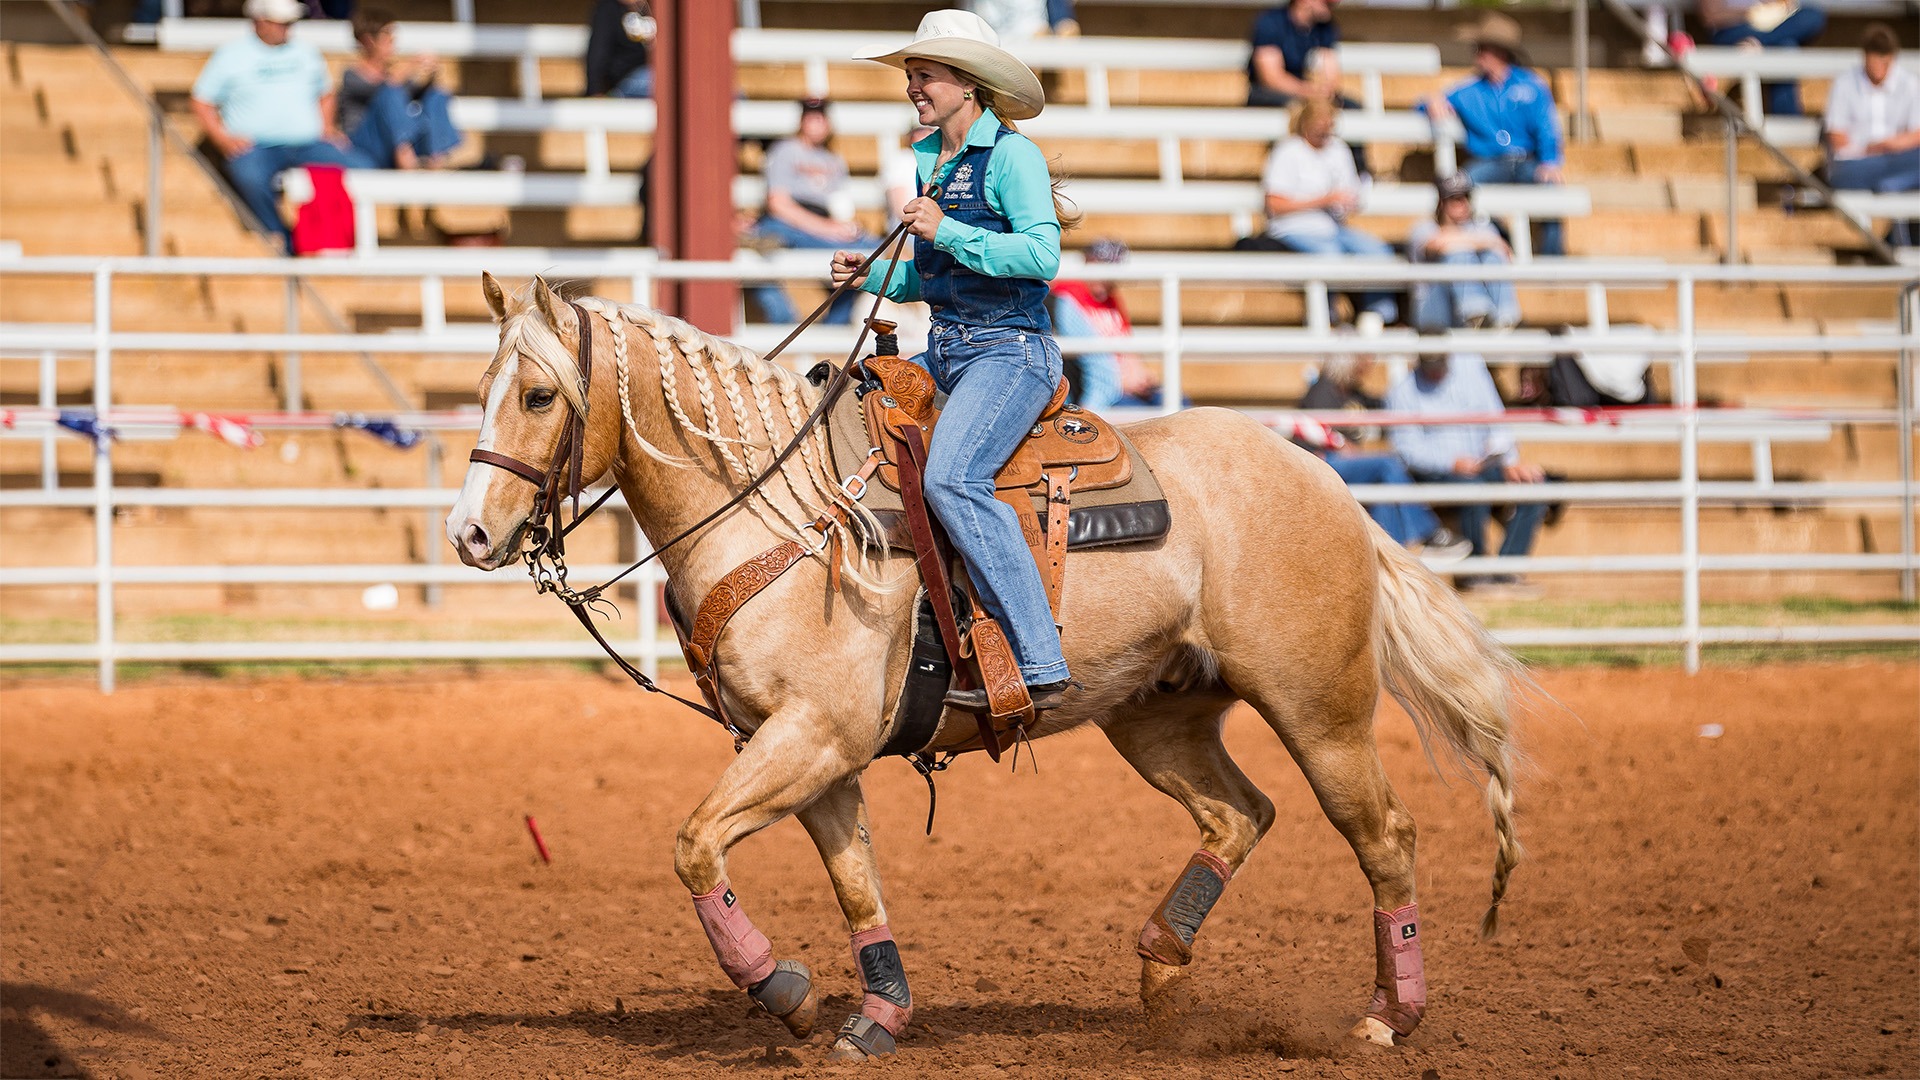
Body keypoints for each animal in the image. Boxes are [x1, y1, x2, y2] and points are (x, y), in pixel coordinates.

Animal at [446, 274, 1526, 1062]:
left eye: (538, 395)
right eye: (482, 390)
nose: (468, 534)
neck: (784, 514)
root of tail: (1331, 483)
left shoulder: (813, 736)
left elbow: (695, 844)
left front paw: (783, 989)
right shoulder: (813, 756)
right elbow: (854, 884)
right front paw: (867, 1017)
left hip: (1319, 707)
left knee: (1382, 835)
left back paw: (1387, 1015)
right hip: (1158, 714)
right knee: (1239, 814)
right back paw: (1161, 970)